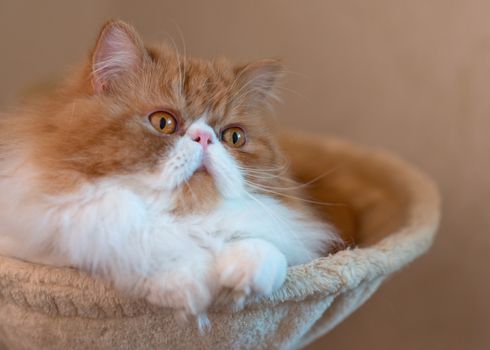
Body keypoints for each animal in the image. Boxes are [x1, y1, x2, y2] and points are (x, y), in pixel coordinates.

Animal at [0, 19, 338, 326]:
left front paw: (243, 276)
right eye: (163, 122)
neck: (180, 219)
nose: (205, 138)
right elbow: (132, 247)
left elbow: (267, 251)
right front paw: (189, 285)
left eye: (233, 137)